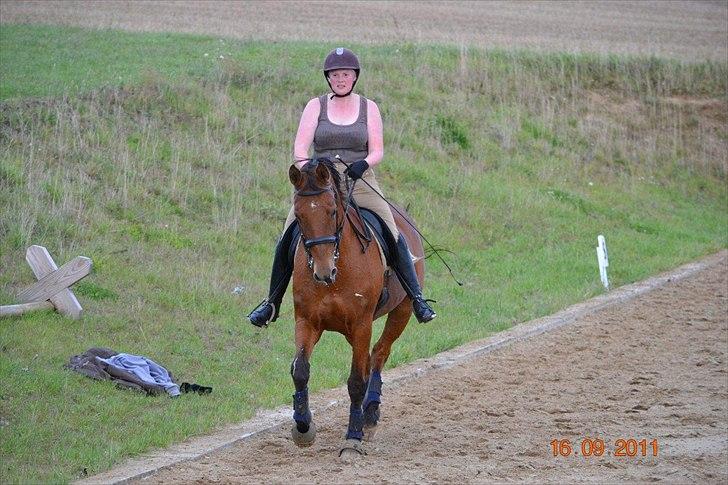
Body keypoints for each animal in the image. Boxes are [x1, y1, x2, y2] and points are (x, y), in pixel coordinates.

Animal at [288, 157, 426, 456]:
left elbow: (355, 382)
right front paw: (303, 427)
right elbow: (300, 370)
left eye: (331, 212)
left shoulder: (362, 324)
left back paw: (370, 416)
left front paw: (352, 438)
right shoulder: (307, 321)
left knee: (379, 354)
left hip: (402, 310)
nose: (323, 272)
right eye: (299, 216)